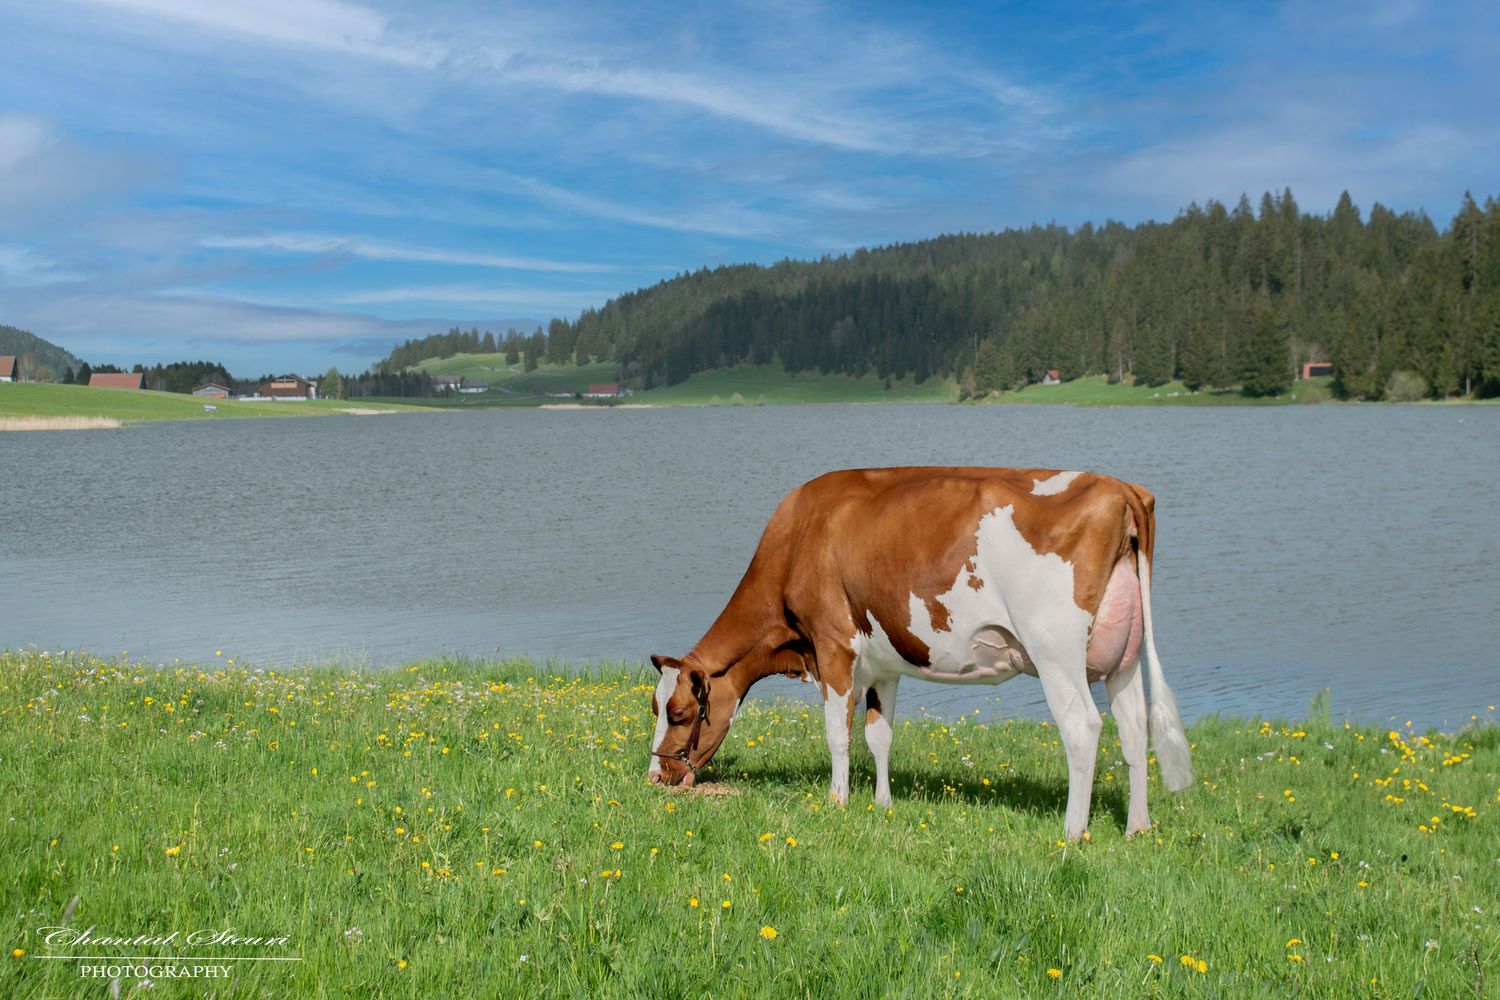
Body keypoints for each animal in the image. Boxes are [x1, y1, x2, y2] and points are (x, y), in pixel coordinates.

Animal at [648, 467, 1194, 841]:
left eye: (680, 713)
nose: (656, 776)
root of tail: (1118, 487)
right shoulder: (882, 664)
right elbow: (879, 736)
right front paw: (882, 804)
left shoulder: (833, 647)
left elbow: (838, 735)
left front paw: (837, 801)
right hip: (1122, 659)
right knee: (1134, 728)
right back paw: (1137, 827)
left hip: (1055, 652)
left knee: (1083, 728)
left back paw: (1072, 833)